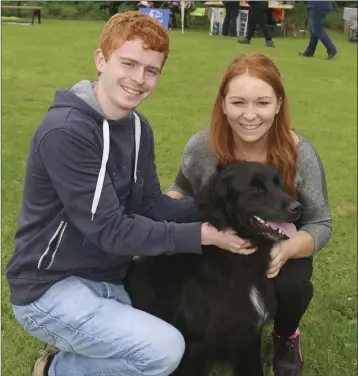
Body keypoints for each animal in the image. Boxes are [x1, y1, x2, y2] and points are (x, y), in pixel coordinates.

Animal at [124, 162, 300, 376]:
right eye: (256, 189)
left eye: (278, 184)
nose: (297, 208)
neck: (239, 262)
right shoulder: (194, 349)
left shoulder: (249, 337)